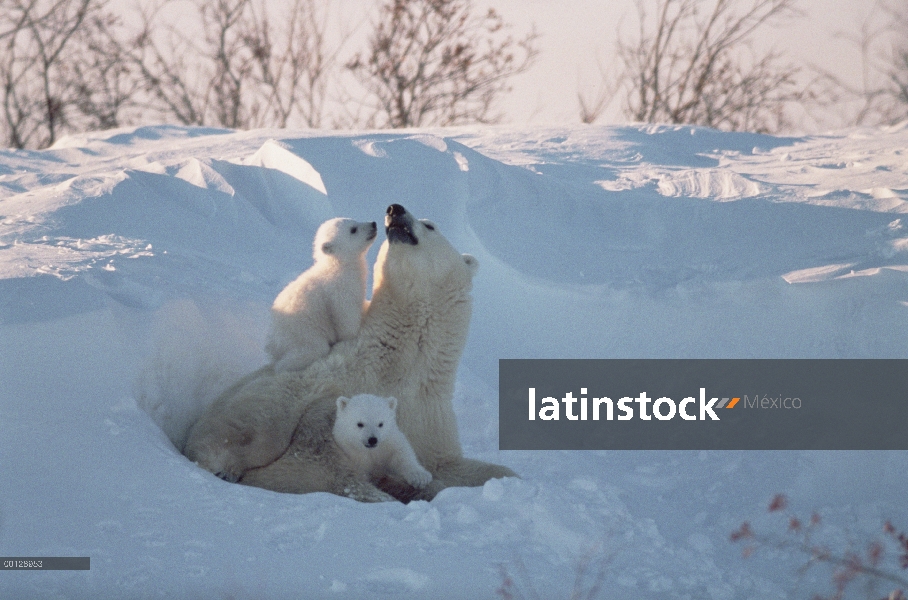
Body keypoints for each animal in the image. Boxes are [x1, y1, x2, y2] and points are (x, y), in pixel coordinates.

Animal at [264, 218, 378, 372]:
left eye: (354, 220)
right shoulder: (339, 291)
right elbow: (346, 320)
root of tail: (272, 344)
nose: (373, 224)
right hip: (302, 332)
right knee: (313, 349)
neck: (338, 265)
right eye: (353, 229)